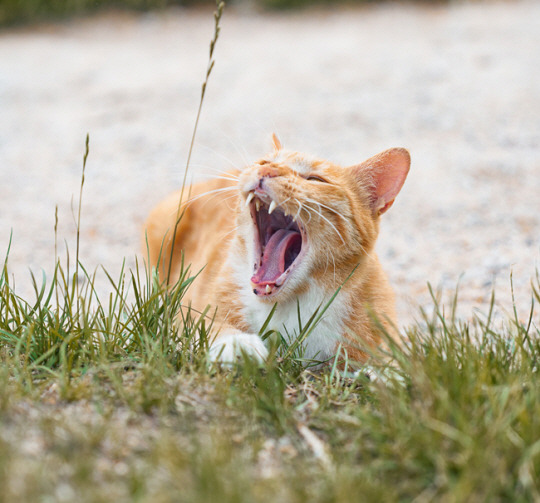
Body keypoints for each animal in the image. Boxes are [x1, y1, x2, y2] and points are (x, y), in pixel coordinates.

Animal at [143, 135, 410, 366]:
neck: (289, 307)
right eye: (264, 162)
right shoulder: (190, 316)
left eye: (315, 180)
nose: (266, 171)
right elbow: (209, 326)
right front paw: (238, 343)